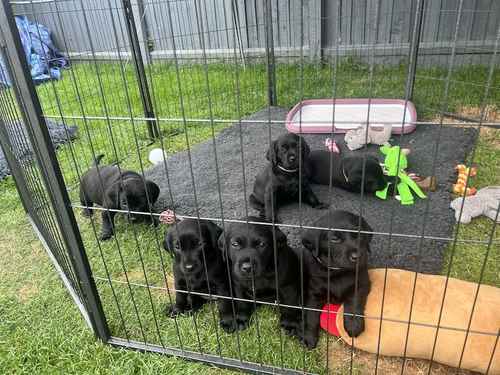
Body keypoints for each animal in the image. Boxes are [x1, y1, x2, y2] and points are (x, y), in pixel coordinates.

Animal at [296, 212, 372, 350]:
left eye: (358, 234)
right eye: (334, 239)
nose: (357, 256)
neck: (338, 271)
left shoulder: (362, 284)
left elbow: (354, 303)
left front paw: (354, 325)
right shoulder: (313, 293)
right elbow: (311, 316)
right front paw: (309, 337)